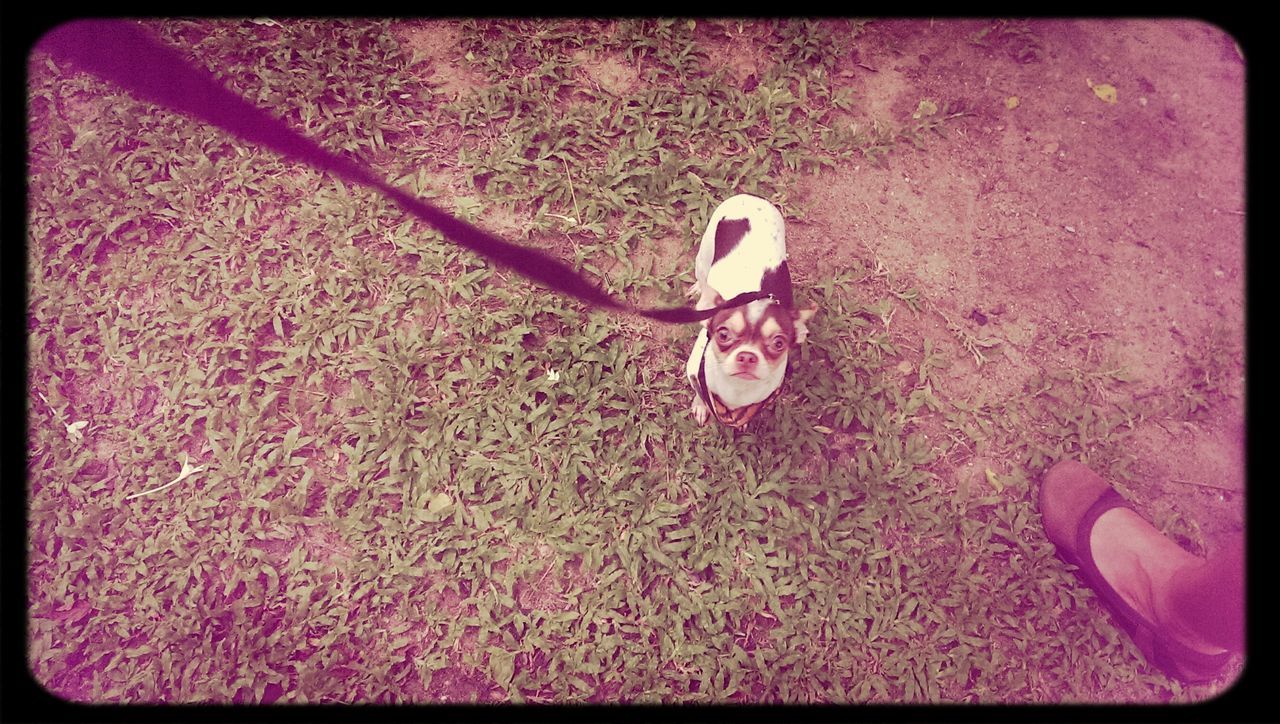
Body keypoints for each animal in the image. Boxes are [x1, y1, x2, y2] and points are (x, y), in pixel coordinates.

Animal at [686, 195, 814, 429]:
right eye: (723, 335)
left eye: (779, 343)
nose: (747, 356)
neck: (737, 388)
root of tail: (751, 197)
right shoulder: (694, 373)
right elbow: (701, 392)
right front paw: (701, 406)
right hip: (703, 257)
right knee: (702, 276)